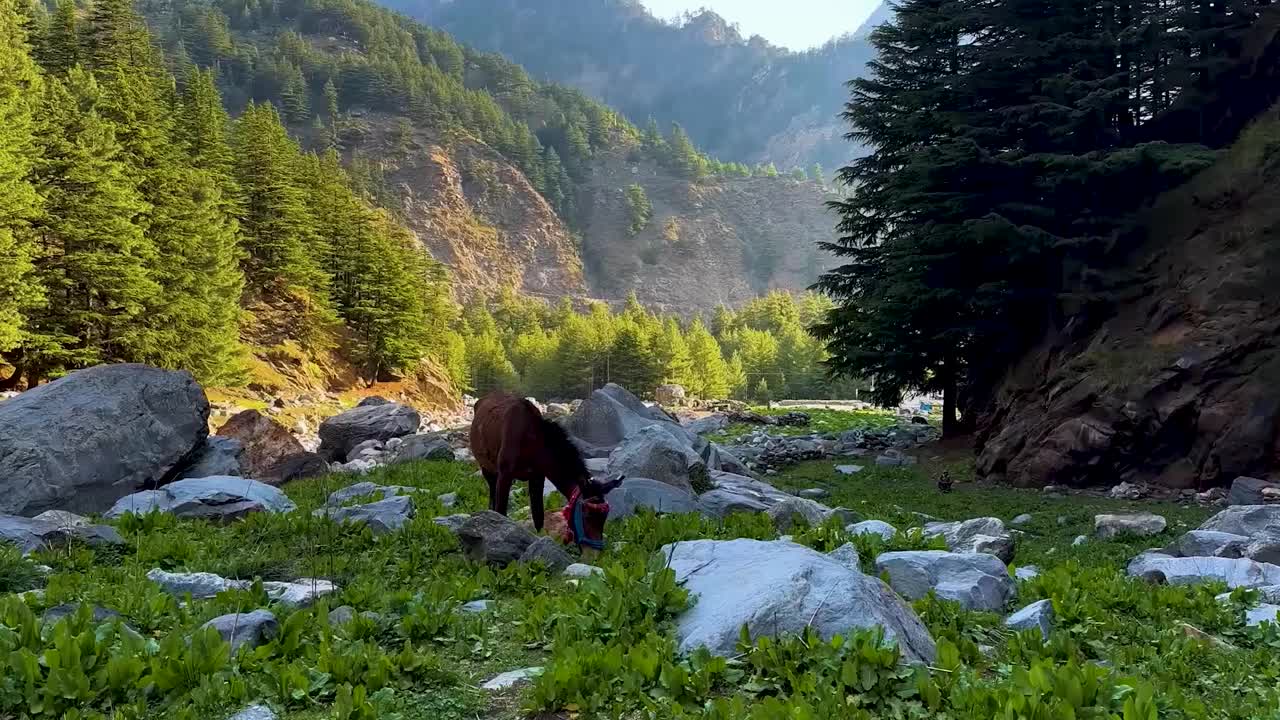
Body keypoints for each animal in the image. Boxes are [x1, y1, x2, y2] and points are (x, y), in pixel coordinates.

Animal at [476, 392, 624, 543]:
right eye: (586, 514)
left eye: (605, 516)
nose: (595, 547)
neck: (534, 446)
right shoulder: (505, 473)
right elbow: (501, 511)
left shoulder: (537, 476)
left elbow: (538, 517)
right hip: (487, 468)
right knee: (492, 498)